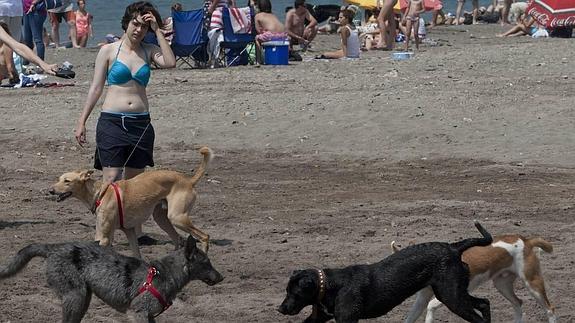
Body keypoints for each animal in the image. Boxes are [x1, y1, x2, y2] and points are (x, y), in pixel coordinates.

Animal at [0, 235, 223, 323]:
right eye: (206, 263)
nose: (221, 277)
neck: (164, 273)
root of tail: (54, 248)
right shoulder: (139, 313)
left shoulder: (150, 317)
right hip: (75, 297)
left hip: (83, 299)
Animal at [49, 147, 214, 258]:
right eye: (59, 179)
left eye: (67, 181)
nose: (50, 190)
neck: (100, 193)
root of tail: (188, 180)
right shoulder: (127, 231)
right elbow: (136, 255)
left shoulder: (104, 238)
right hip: (162, 218)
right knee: (177, 240)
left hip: (177, 218)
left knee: (204, 236)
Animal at [280, 223, 496, 323]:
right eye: (286, 291)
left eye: (294, 293)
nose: (280, 309)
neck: (330, 285)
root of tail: (453, 248)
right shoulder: (318, 317)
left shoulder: (347, 319)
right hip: (454, 293)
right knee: (484, 303)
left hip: (452, 297)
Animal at [396, 235, 560, 323]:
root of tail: (526, 241)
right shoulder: (422, 298)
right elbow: (411, 317)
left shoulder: (454, 295)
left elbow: (431, 305)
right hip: (502, 285)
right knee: (518, 303)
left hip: (532, 283)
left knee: (550, 309)